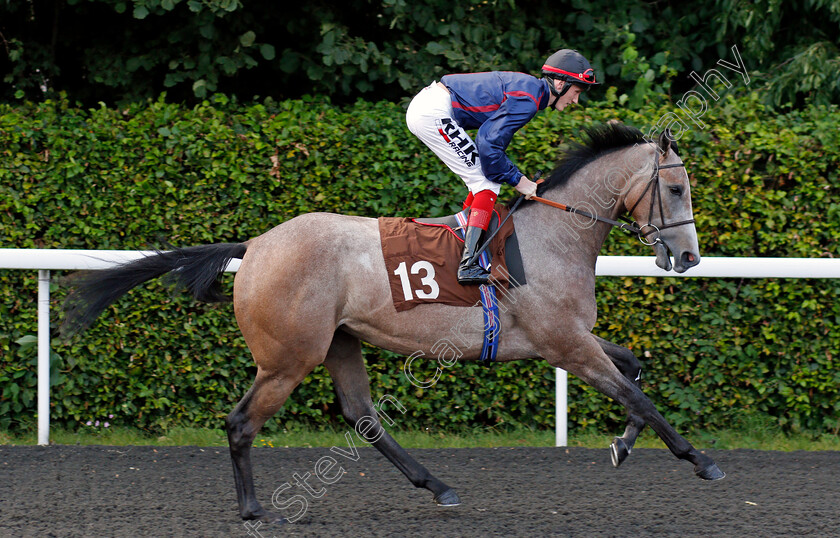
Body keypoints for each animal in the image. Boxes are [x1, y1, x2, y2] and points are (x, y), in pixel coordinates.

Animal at [64, 122, 720, 524]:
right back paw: (254, 509)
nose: (689, 257)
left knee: (361, 416)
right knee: (241, 422)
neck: (555, 237)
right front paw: (699, 459)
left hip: (339, 342)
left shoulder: (570, 338)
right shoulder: (565, 344)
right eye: (677, 188)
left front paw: (622, 445)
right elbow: (638, 394)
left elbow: (634, 372)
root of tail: (254, 246)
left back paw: (437, 485)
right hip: (288, 358)